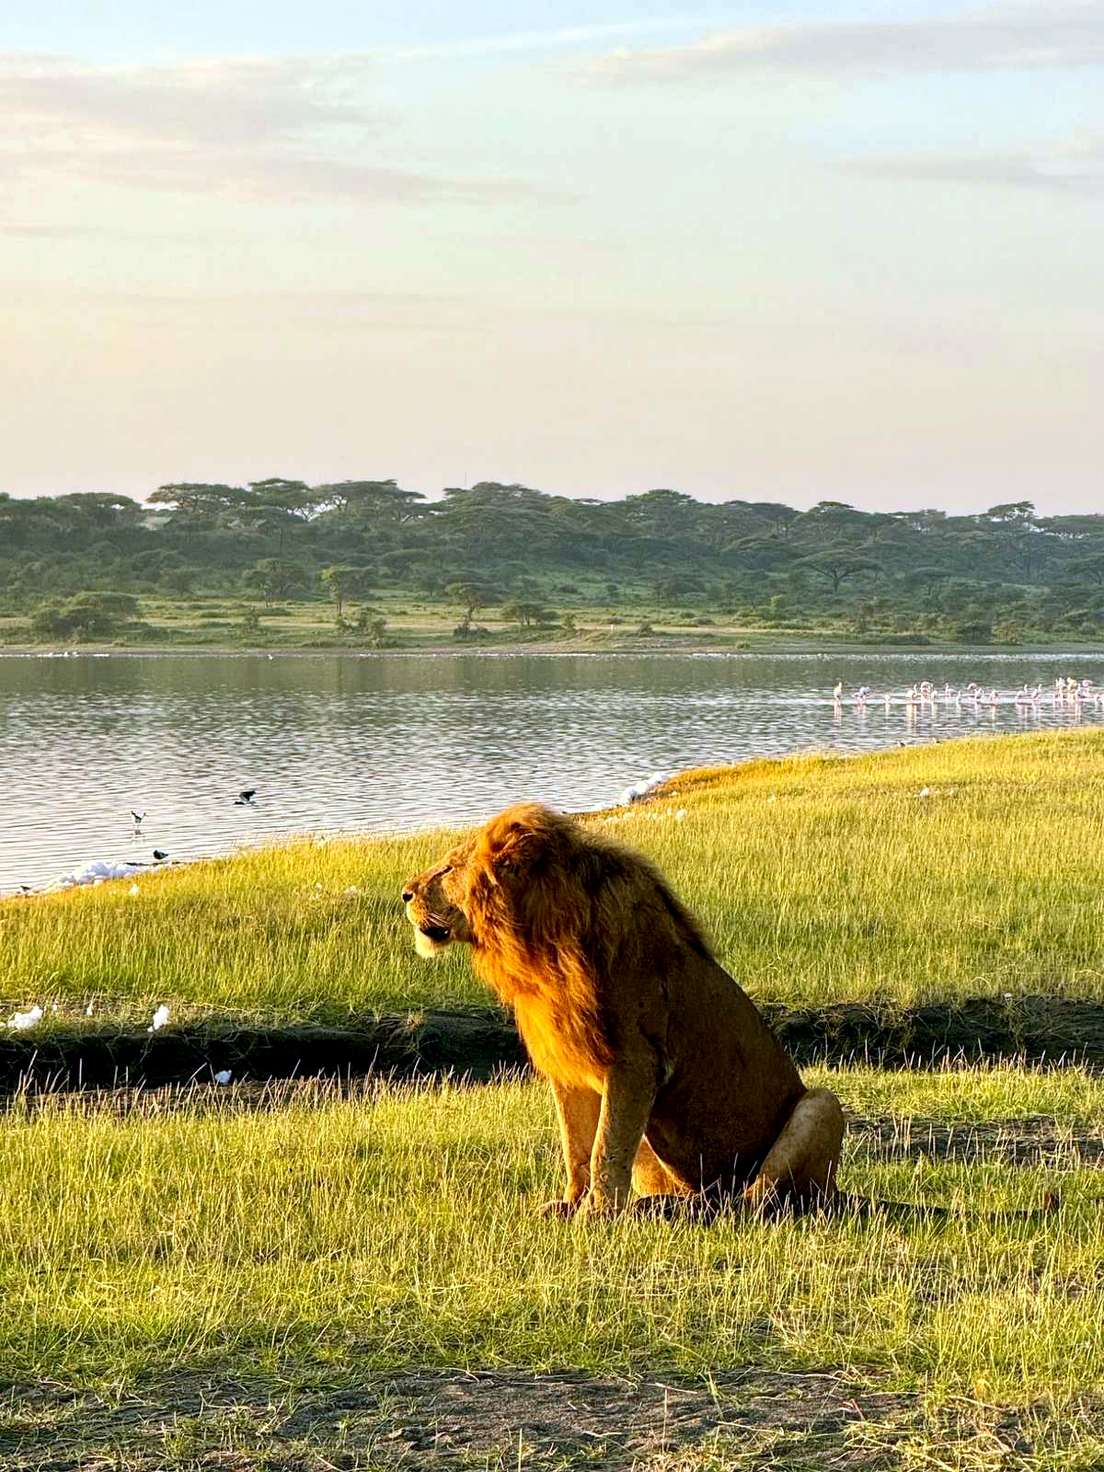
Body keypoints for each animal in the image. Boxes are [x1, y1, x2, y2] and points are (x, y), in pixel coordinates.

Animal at [401, 801, 845, 1219]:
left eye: (447, 868)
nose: (405, 893)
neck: (541, 954)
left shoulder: (635, 1062)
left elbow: (606, 1147)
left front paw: (596, 1215)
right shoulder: (568, 1067)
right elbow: (577, 1146)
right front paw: (572, 1205)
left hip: (821, 1104)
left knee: (756, 1198)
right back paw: (661, 1206)